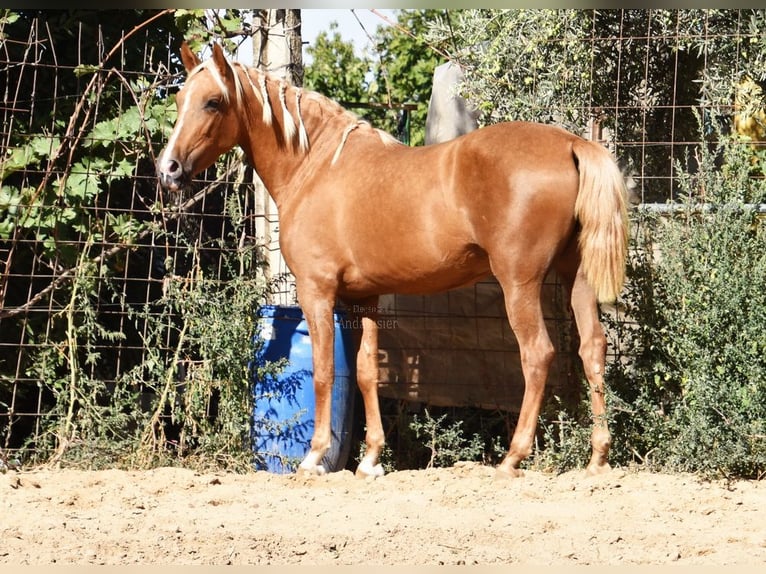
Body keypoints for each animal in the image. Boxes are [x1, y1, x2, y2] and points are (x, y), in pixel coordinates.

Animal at [158, 42, 632, 480]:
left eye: (213, 101)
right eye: (179, 100)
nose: (169, 169)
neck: (316, 167)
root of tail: (571, 143)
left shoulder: (317, 293)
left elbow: (325, 371)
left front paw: (314, 459)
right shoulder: (365, 298)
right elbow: (367, 371)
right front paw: (370, 461)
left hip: (519, 283)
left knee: (536, 354)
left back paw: (512, 458)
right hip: (576, 278)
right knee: (593, 348)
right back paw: (597, 459)